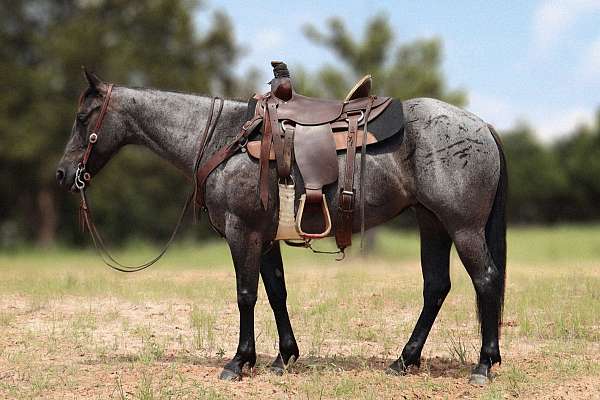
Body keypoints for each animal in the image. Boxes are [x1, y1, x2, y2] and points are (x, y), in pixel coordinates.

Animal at [56, 70, 506, 386]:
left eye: (81, 117)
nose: (62, 174)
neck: (223, 138)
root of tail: (482, 125)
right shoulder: (266, 238)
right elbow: (275, 293)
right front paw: (283, 356)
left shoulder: (243, 232)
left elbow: (246, 294)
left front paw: (239, 361)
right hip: (433, 224)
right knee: (437, 288)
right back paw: (404, 359)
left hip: (463, 227)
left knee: (485, 279)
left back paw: (483, 365)